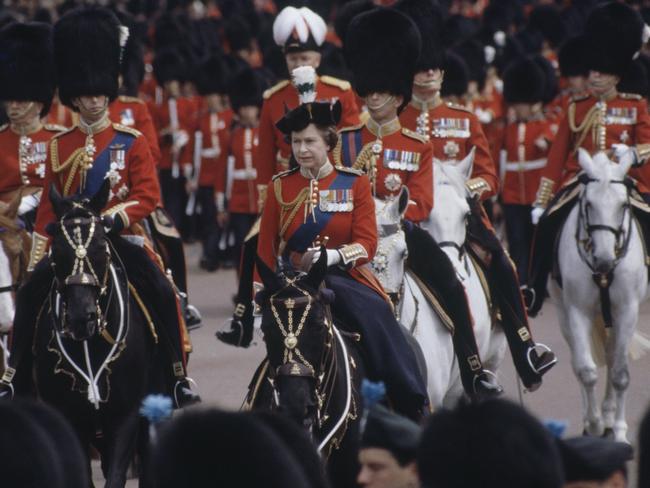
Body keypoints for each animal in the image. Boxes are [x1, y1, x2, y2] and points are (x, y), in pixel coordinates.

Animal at [26, 183, 165, 488]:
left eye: (102, 246)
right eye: (57, 250)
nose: (82, 318)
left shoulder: (125, 416)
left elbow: (115, 476)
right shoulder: (70, 418)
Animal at [548, 150, 644, 442]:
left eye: (623, 205)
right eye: (588, 204)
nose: (603, 261)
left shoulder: (627, 310)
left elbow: (620, 373)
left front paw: (619, 431)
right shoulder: (577, 310)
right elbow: (586, 371)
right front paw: (593, 424)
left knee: (612, 358)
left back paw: (611, 417)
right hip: (563, 313)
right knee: (578, 361)